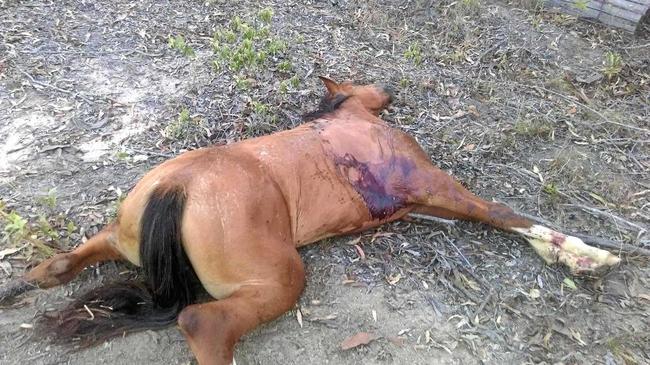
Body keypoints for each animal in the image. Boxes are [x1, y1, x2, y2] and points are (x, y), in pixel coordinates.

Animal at [0, 77, 616, 364]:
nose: (390, 87)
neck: (348, 120)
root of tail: (179, 187)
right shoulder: (431, 184)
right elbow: (503, 214)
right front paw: (586, 255)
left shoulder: (421, 201)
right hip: (279, 279)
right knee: (202, 324)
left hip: (125, 234)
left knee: (68, 262)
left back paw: (33, 279)